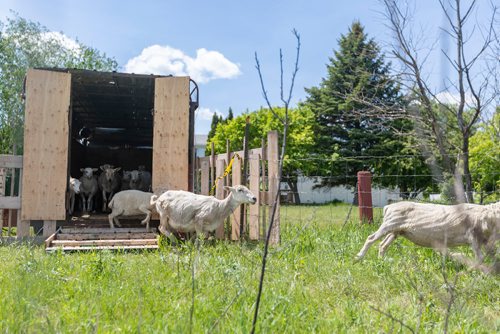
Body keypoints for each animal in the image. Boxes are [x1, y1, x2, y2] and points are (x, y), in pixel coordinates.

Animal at [21, 68, 197, 232]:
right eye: (105, 171)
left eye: (113, 172)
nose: (111, 178)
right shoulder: (99, 191)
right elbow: (96, 200)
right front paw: (96, 209)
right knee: (106, 211)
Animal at [356, 201, 500, 274]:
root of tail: (388, 207)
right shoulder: (473, 237)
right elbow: (480, 258)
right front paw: (470, 271)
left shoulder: (485, 241)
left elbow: (492, 256)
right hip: (390, 224)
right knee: (371, 238)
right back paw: (358, 257)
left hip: (396, 230)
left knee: (383, 245)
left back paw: (381, 261)